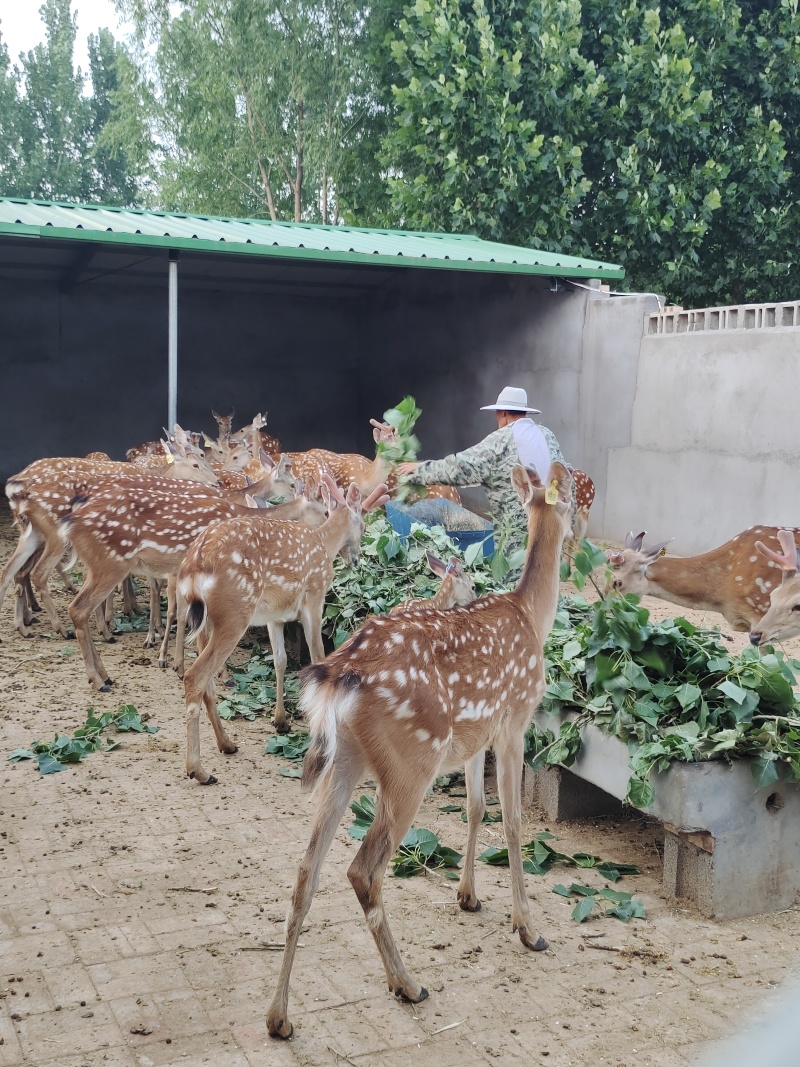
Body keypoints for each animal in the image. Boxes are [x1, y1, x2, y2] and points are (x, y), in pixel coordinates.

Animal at [178, 480, 390, 784]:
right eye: (362, 523)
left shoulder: (275, 616)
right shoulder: (314, 597)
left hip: (204, 622)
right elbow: (317, 656)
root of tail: (195, 564)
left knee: (207, 682)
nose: (356, 559)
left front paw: (280, 721)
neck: (324, 545)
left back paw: (226, 744)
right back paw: (199, 770)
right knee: (195, 676)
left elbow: (280, 661)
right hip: (234, 612)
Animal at [265, 462, 572, 1038]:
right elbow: (513, 822)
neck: (530, 616)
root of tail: (340, 674)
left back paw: (279, 1018)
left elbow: (476, 807)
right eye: (575, 499)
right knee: (363, 870)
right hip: (412, 761)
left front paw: (468, 896)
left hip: (345, 760)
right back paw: (407, 983)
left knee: (305, 868)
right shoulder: (514, 720)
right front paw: (528, 928)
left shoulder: (476, 737)